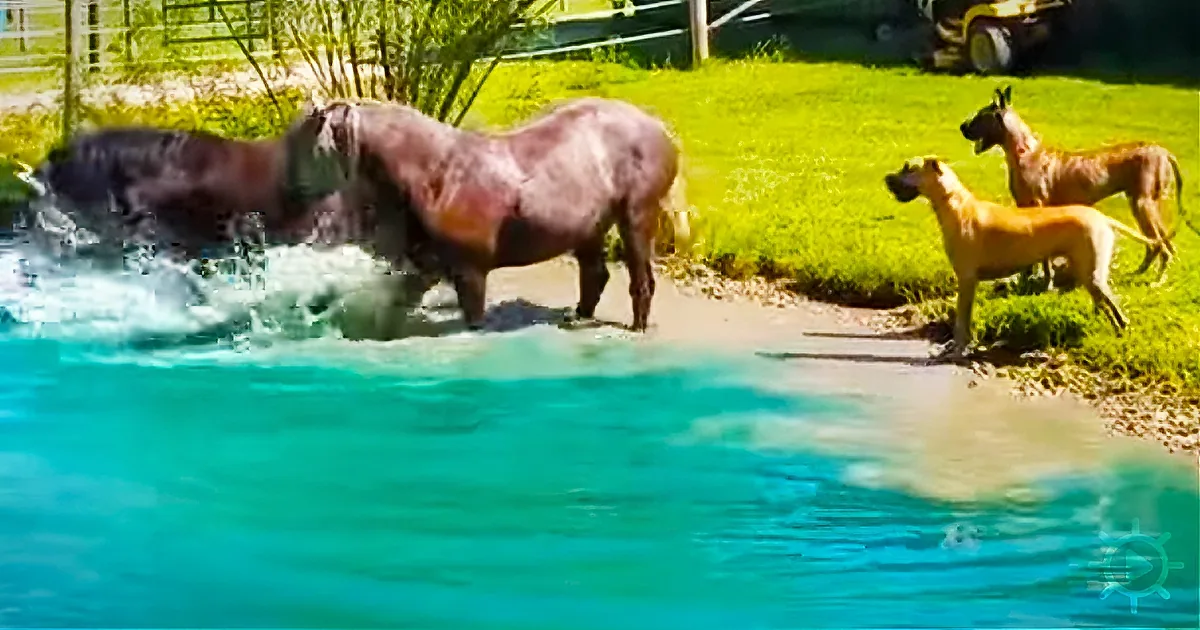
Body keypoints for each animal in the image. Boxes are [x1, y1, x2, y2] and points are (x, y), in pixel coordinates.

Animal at [287, 96, 693, 332]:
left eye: (307, 141)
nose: (291, 192)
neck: (436, 174)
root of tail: (658, 127)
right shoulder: (425, 266)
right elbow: (392, 303)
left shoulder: (469, 272)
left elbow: (473, 319)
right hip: (589, 226)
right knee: (595, 275)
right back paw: (576, 316)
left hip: (636, 216)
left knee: (640, 279)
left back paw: (637, 327)